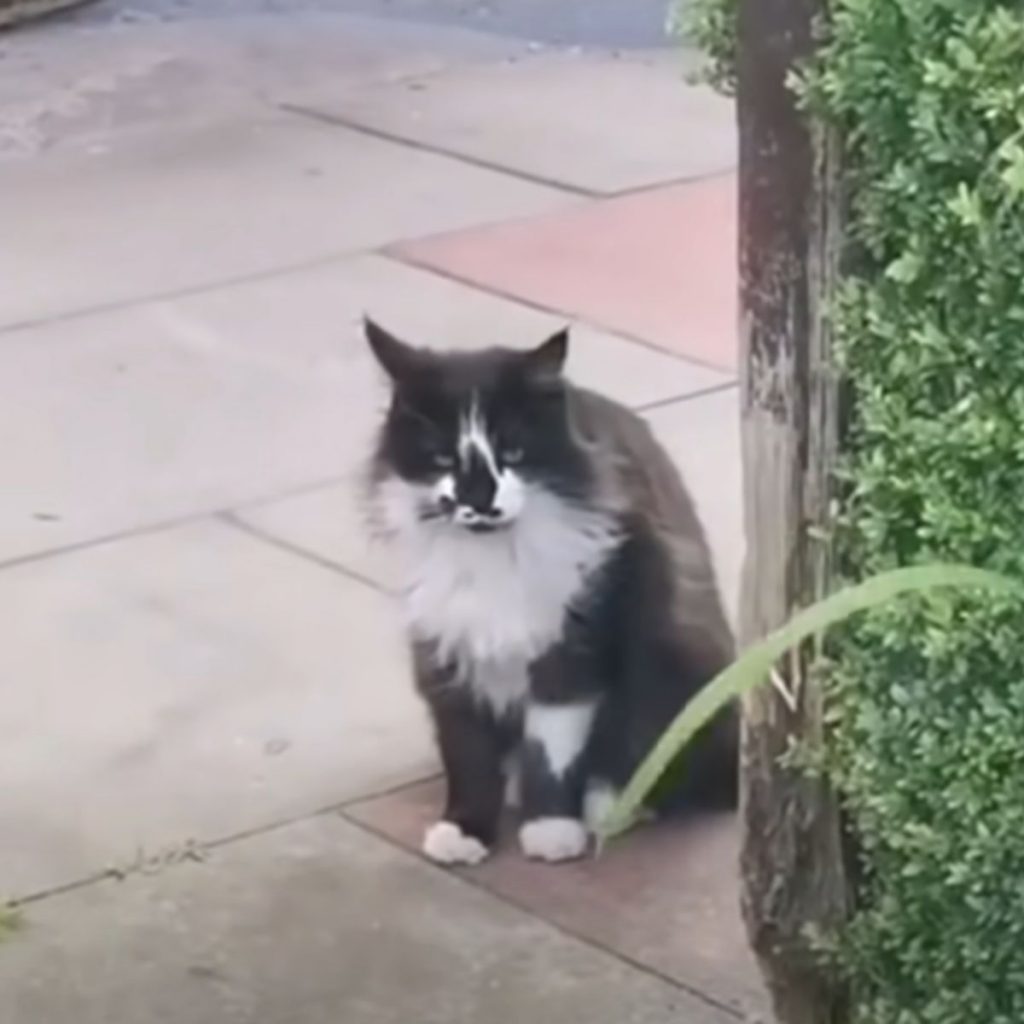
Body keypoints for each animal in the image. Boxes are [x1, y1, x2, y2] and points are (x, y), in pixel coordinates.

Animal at [364, 317, 741, 864]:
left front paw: (551, 829)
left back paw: (609, 802)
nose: (479, 501)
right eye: (442, 458)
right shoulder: (447, 648)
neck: (493, 559)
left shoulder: (574, 645)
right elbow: (467, 754)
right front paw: (465, 829)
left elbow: (553, 751)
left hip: (675, 656)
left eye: (512, 454)